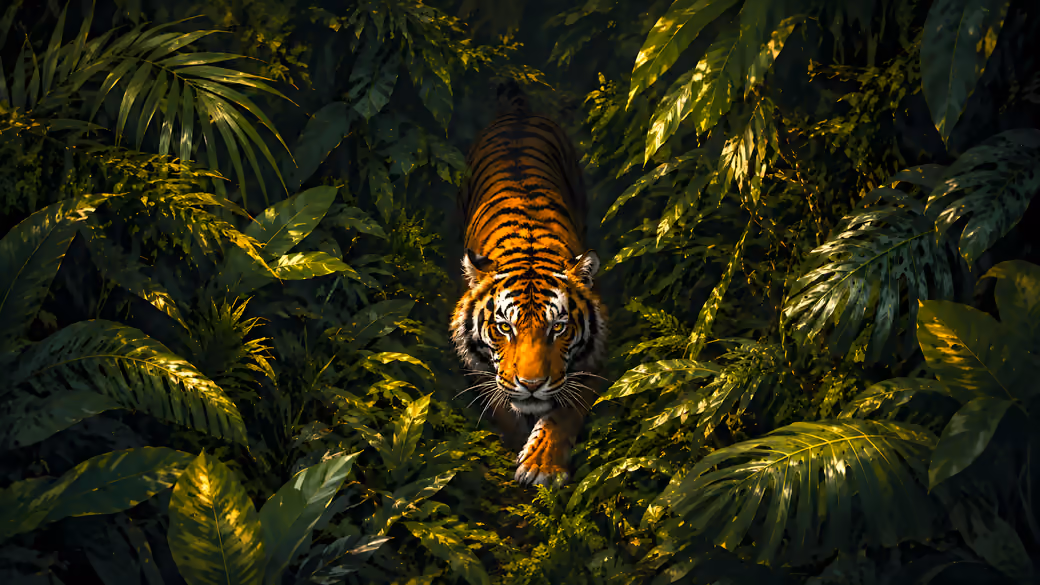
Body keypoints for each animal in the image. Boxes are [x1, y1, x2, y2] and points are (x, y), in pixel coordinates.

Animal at [450, 79, 607, 487]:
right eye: (504, 328)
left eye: (559, 328)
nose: (532, 384)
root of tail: (519, 113)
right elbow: (502, 404)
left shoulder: (591, 360)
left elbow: (565, 410)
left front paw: (542, 465)